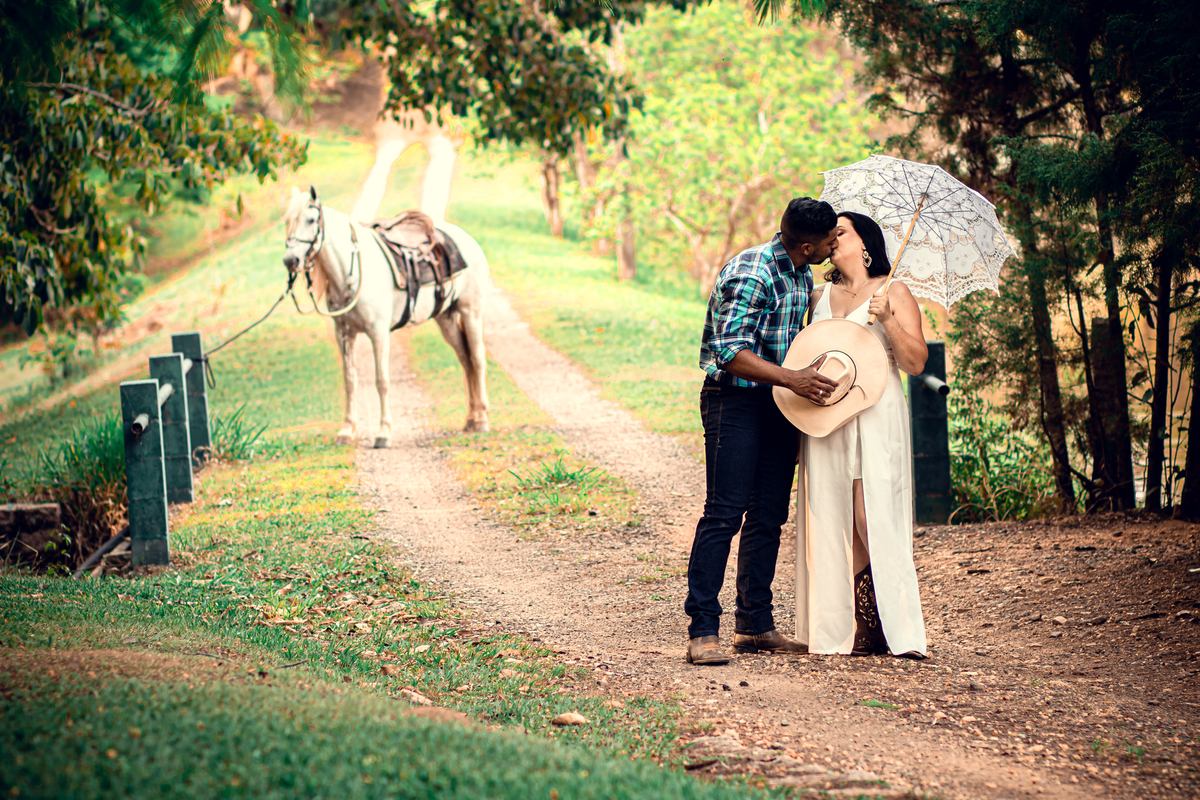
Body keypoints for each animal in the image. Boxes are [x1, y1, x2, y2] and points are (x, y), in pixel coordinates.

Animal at [281, 185, 490, 446]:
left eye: (310, 220)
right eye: (288, 221)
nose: (290, 260)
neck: (353, 272)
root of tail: (468, 240)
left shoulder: (378, 333)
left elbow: (382, 381)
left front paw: (384, 432)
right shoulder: (344, 334)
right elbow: (350, 381)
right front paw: (347, 430)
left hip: (472, 311)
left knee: (477, 359)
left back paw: (482, 419)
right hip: (446, 319)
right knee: (465, 358)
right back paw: (471, 418)